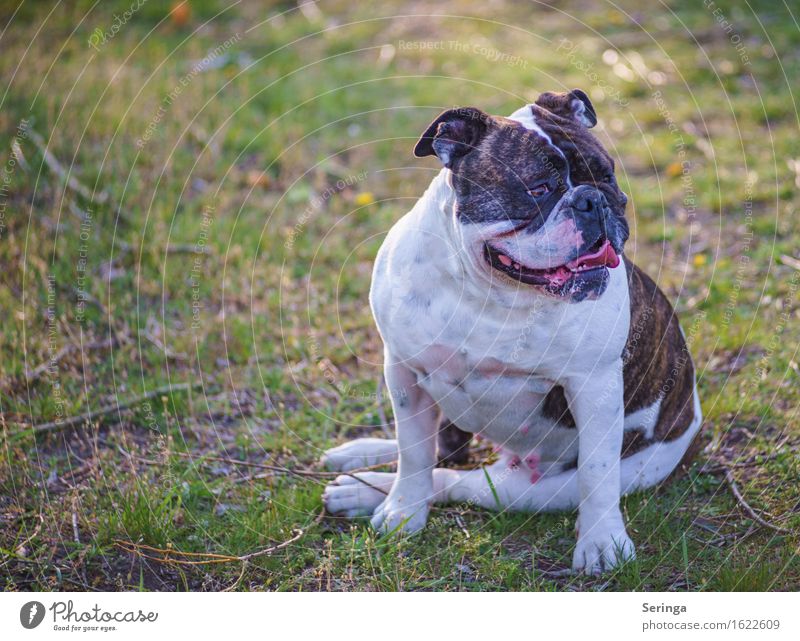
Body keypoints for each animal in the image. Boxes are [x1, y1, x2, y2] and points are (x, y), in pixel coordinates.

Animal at [318, 90, 700, 576]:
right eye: (537, 189)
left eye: (606, 176)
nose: (592, 200)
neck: (492, 292)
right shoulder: (403, 372)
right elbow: (414, 450)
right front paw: (404, 510)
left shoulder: (594, 388)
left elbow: (598, 474)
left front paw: (601, 541)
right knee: (435, 452)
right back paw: (361, 460)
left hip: (536, 489)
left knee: (459, 480)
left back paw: (359, 488)